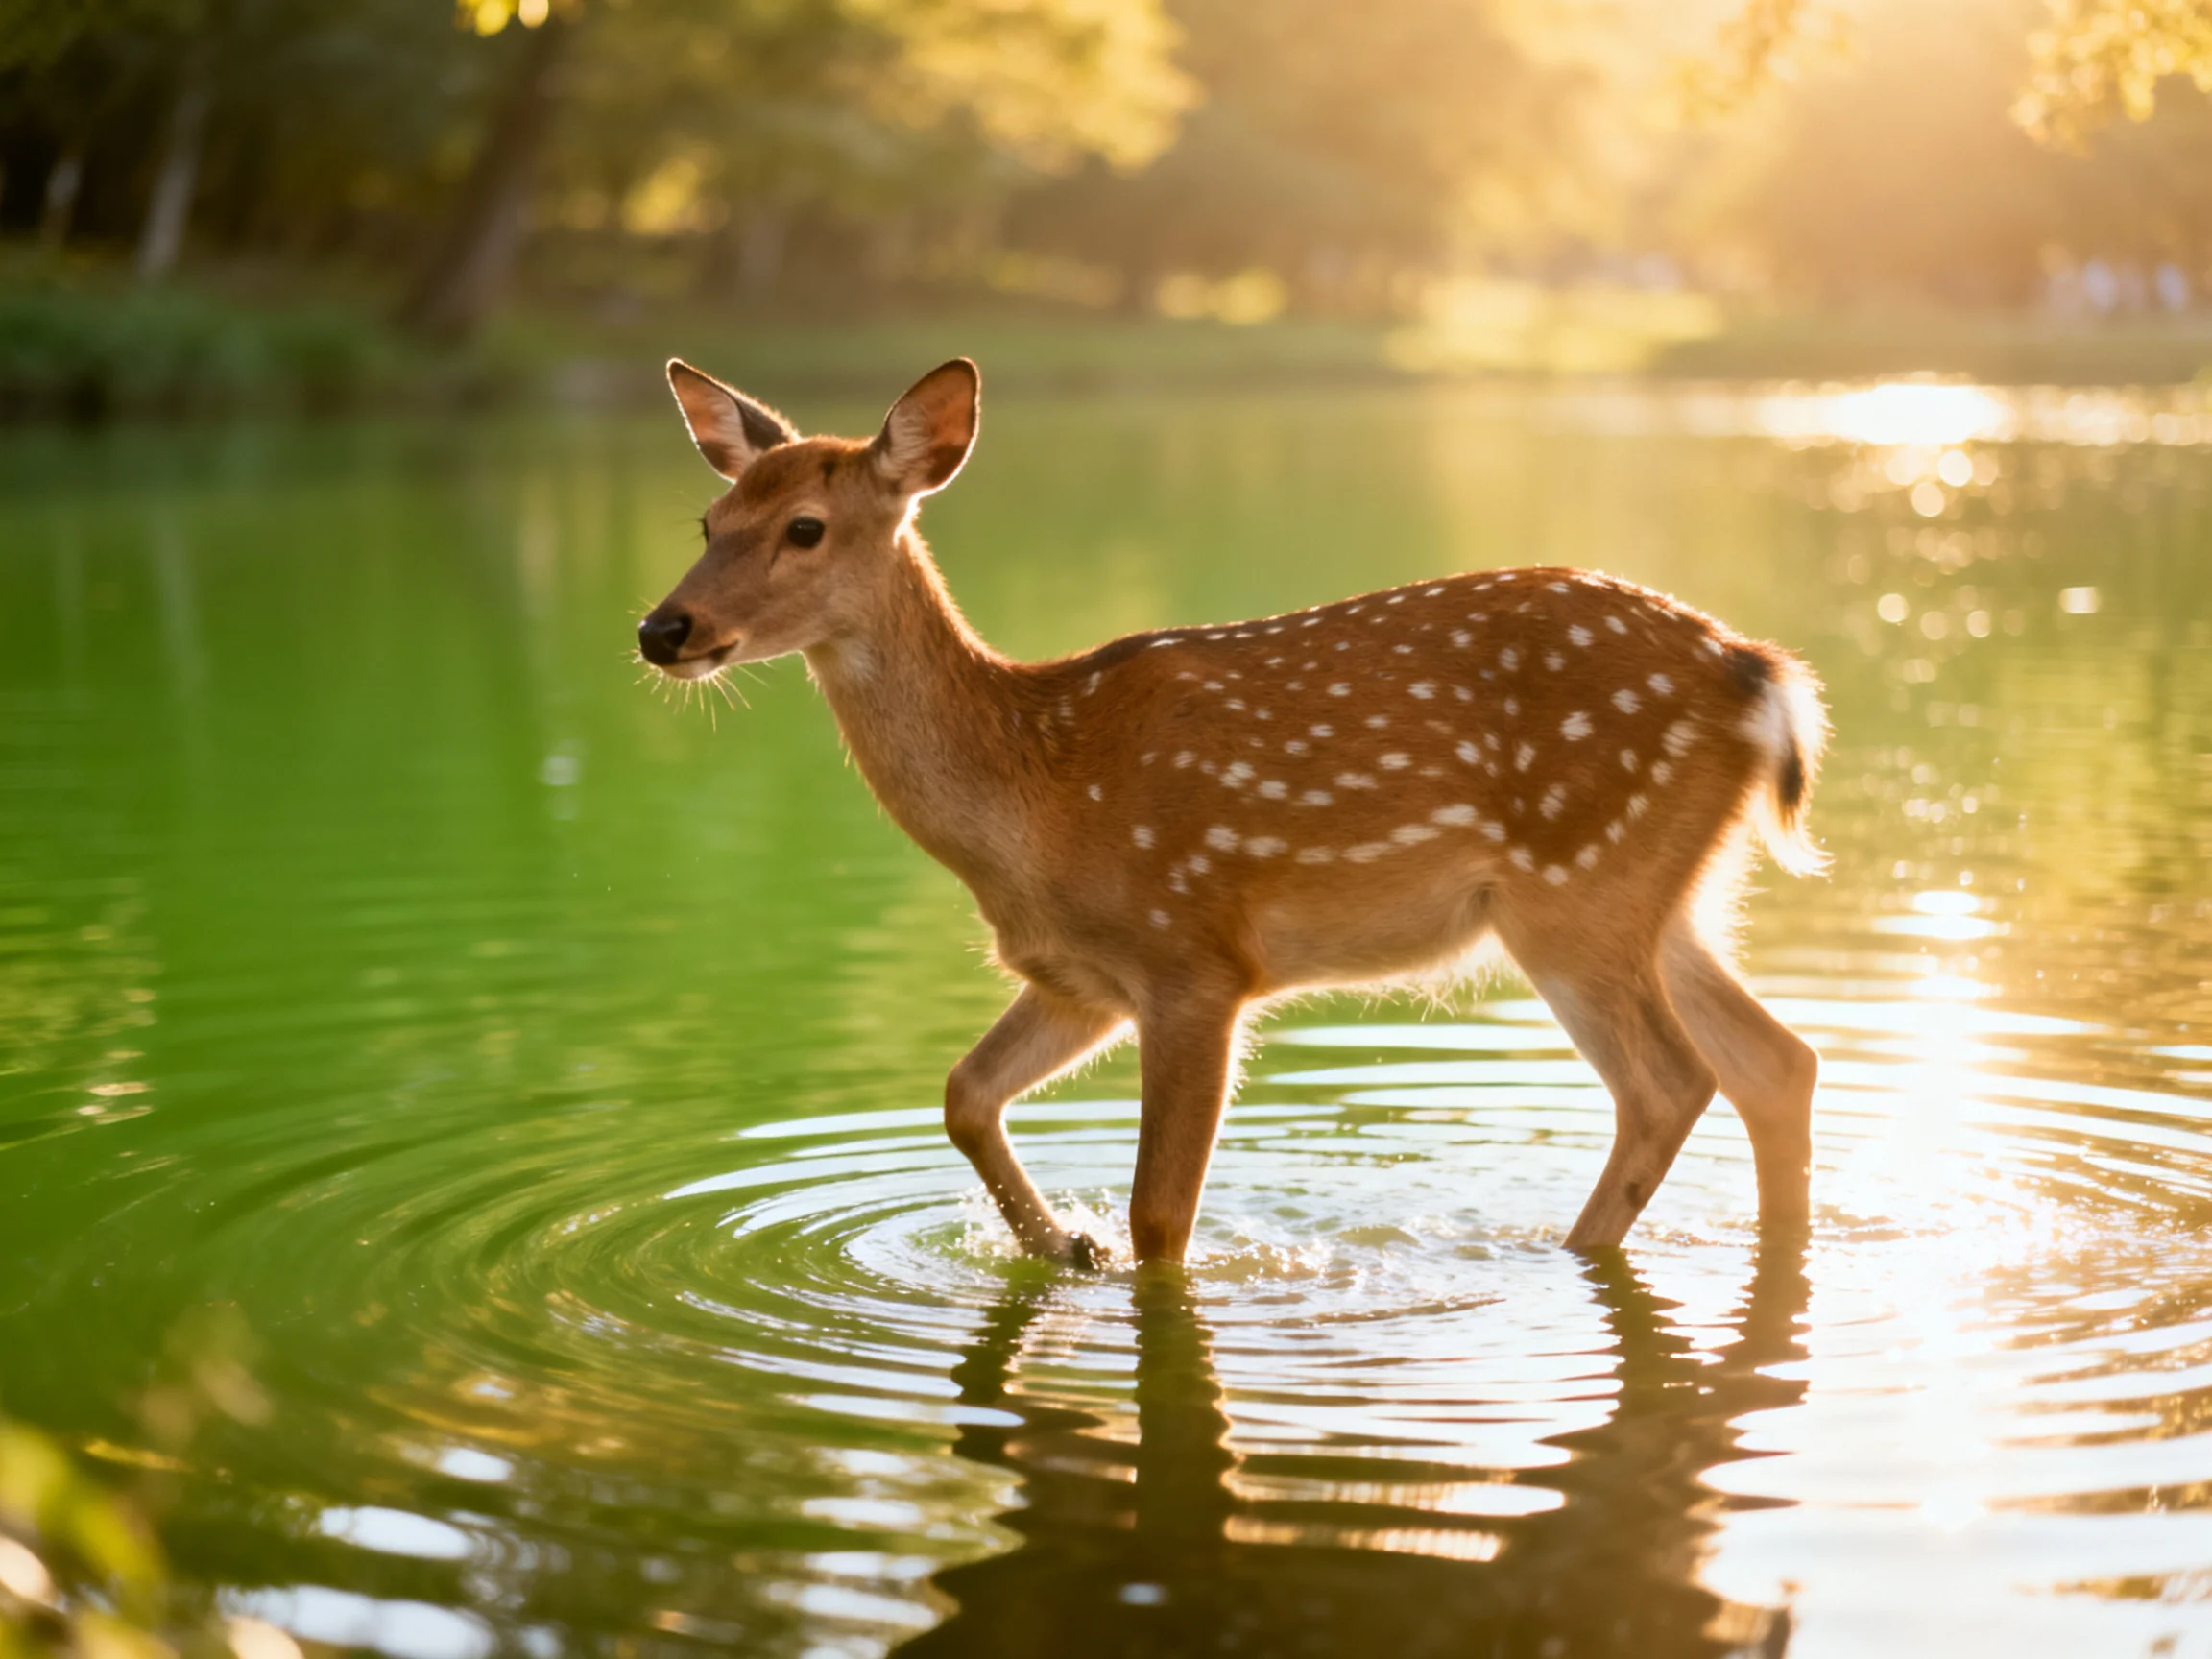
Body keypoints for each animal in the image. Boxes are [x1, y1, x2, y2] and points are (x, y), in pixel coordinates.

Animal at [638, 358, 1829, 1268]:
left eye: (804, 527)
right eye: (707, 518)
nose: (662, 628)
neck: (1036, 798)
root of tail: (1760, 676)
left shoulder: (1194, 958)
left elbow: (1162, 1220)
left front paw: (1109, 1258)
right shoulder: (1079, 977)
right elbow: (964, 1094)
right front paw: (1063, 1248)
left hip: (1575, 891)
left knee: (1671, 1083)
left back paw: (1561, 1255)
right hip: (1665, 899)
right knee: (1777, 1061)